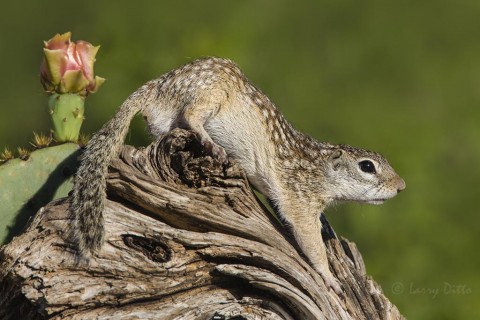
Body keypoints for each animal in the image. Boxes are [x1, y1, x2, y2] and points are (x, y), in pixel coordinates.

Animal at [71, 57, 404, 292]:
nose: (401, 186)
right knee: (192, 114)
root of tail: (156, 86)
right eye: (367, 167)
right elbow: (311, 242)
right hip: (212, 89)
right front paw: (330, 278)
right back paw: (211, 142)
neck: (319, 167)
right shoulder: (300, 201)